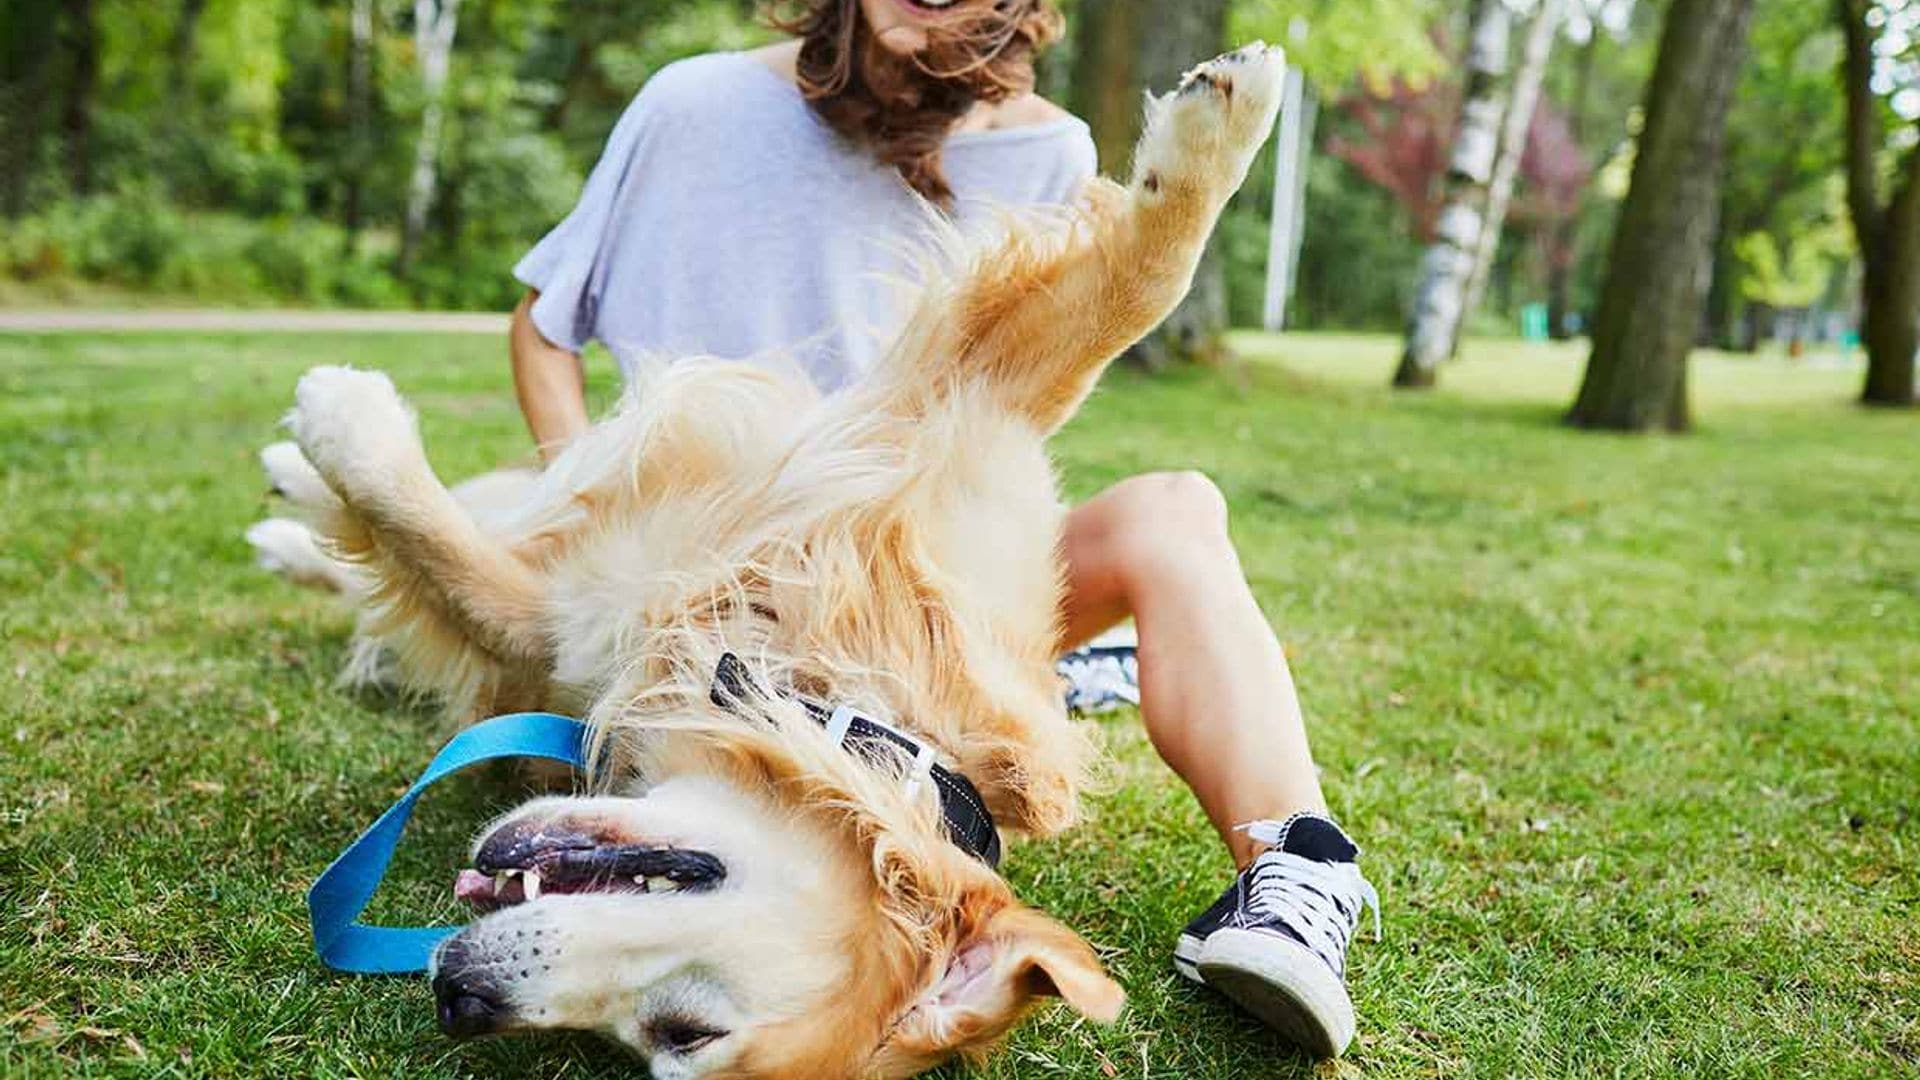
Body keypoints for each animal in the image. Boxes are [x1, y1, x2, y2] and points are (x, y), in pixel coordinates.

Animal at [251, 48, 1274, 1076]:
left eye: (676, 1034)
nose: (460, 996)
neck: (825, 682)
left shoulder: (557, 631)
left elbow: (451, 570)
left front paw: (344, 427)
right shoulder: (959, 416)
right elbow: (1135, 293)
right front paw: (1222, 125)